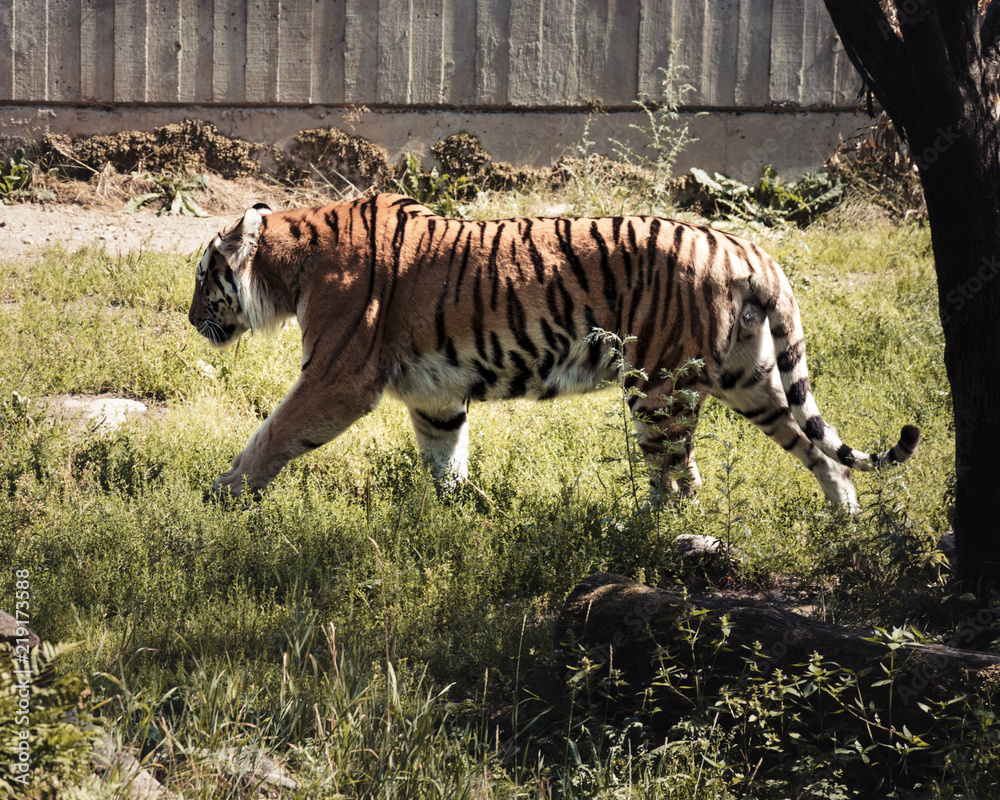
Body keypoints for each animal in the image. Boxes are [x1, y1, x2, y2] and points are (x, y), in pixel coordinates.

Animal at [188, 193, 919, 511]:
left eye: (202, 278)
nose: (192, 320)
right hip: (752, 377)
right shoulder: (434, 393)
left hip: (658, 385)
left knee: (680, 477)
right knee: (814, 447)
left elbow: (274, 431)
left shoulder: (337, 377)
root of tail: (748, 248)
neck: (290, 265)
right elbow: (445, 453)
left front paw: (221, 492)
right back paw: (845, 515)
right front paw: (452, 513)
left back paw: (643, 531)